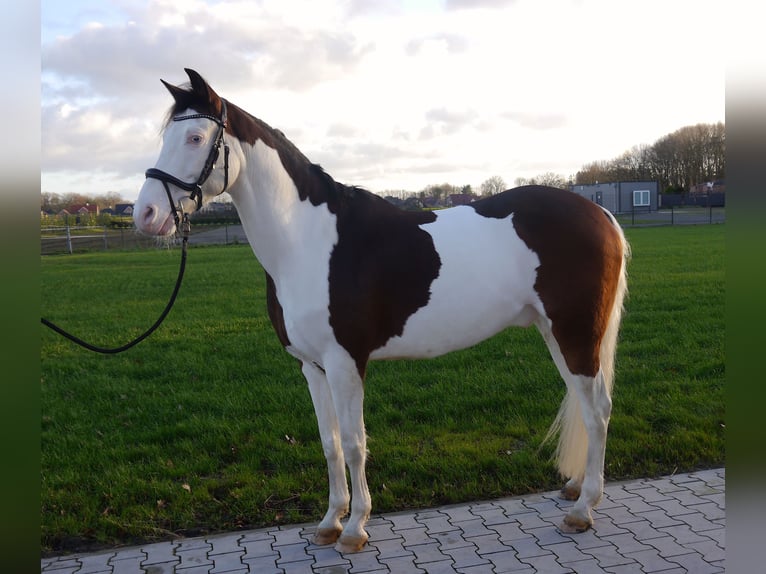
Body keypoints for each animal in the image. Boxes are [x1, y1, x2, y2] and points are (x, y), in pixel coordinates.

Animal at [136, 68, 632, 560]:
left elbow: (355, 443)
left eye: (196, 137)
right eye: (166, 136)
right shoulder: (312, 367)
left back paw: (583, 509)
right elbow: (330, 444)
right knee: (585, 406)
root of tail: (600, 212)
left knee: (599, 410)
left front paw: (356, 527)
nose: (146, 214)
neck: (308, 242)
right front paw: (329, 522)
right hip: (556, 334)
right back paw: (576, 489)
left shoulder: (345, 362)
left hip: (576, 333)